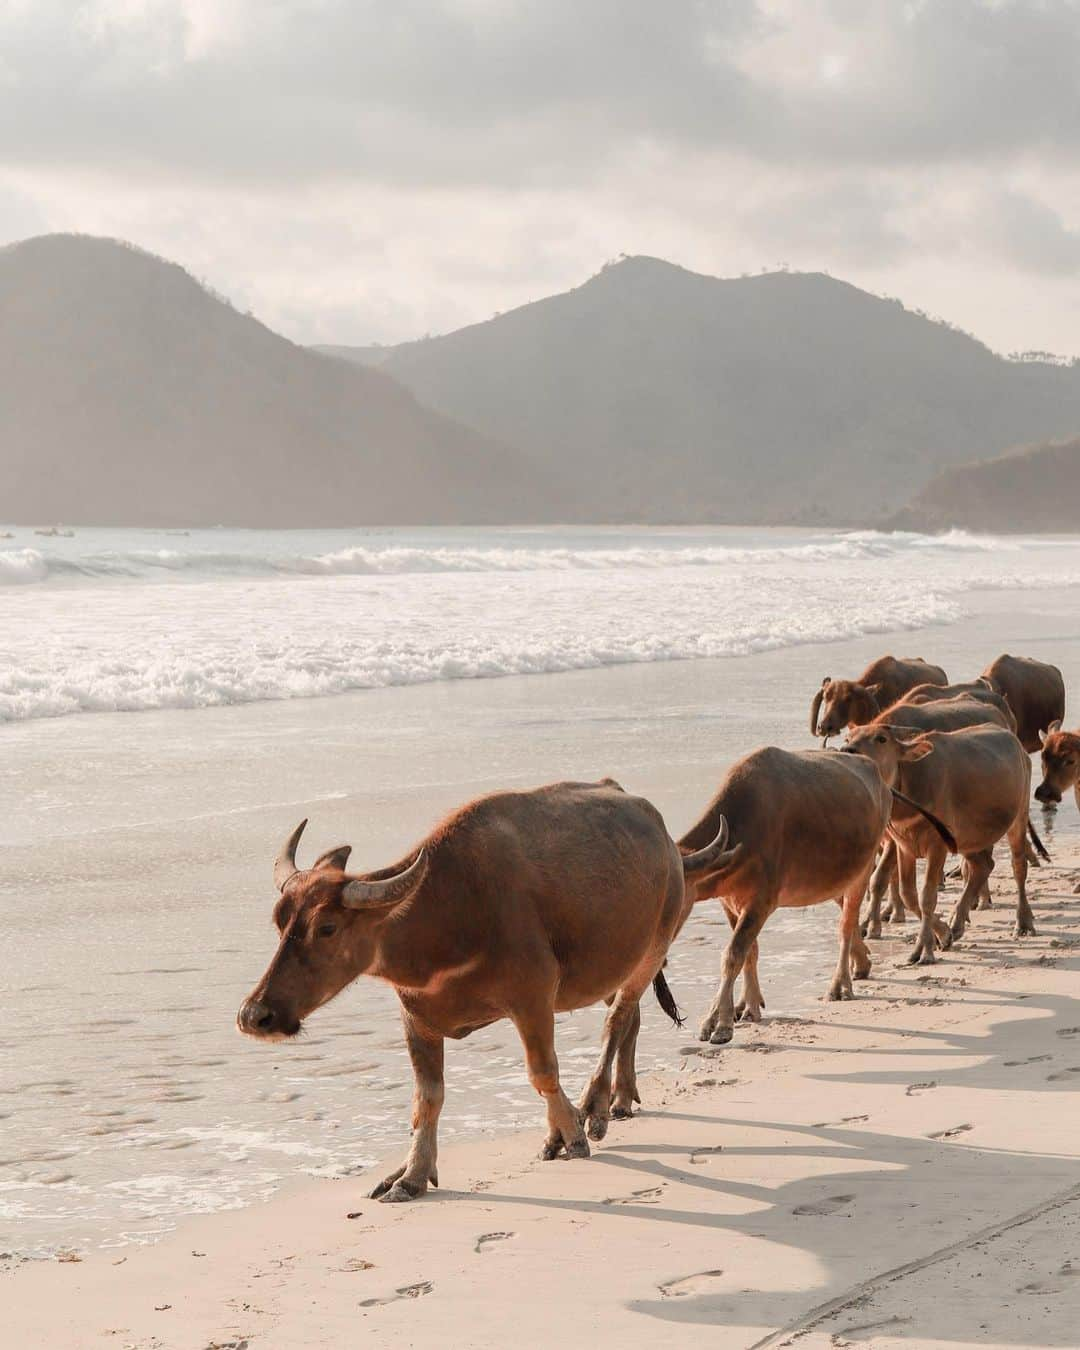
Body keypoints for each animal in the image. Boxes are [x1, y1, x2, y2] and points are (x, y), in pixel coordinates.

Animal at [234, 783, 723, 1204]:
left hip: (651, 950)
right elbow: (427, 1098)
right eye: (279, 920)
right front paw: (411, 1175)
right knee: (629, 1018)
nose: (256, 1015)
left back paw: (597, 1108)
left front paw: (571, 1134)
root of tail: (666, 843)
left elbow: (542, 1073)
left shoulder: (532, 999)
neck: (450, 914)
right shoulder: (416, 1019)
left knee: (618, 1019)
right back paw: (618, 1098)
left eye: (327, 927)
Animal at [675, 750, 896, 1042]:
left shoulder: (761, 903)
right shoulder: (731, 904)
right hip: (835, 881)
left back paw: (840, 985)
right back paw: (862, 962)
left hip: (861, 872)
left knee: (846, 926)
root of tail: (880, 780)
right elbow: (750, 952)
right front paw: (747, 1005)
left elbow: (733, 955)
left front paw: (719, 1024)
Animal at [842, 729, 1047, 961]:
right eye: (848, 738)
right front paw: (943, 934)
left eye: (881, 739)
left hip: (1018, 820)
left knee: (1018, 865)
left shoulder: (936, 847)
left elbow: (927, 896)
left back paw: (1023, 922)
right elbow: (908, 894)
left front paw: (924, 949)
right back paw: (956, 923)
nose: (848, 750)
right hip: (968, 840)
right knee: (983, 866)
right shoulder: (904, 847)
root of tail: (1016, 743)